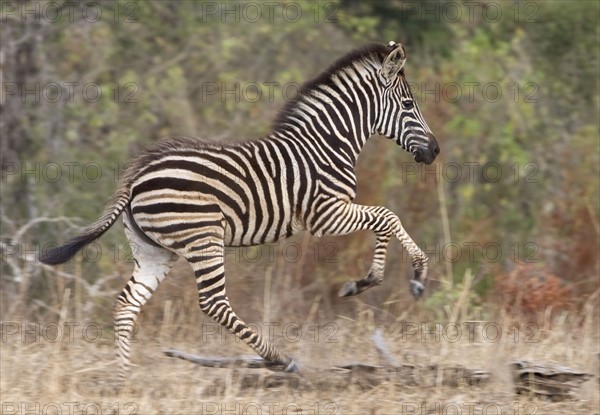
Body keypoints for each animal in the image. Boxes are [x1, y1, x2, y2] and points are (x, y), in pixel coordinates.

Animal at [39, 42, 438, 384]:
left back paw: (123, 380)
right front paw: (413, 275)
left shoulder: (332, 213)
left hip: (153, 250)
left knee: (126, 304)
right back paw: (278, 358)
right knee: (214, 303)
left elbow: (384, 221)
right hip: (203, 239)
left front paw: (366, 280)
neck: (325, 144)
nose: (434, 151)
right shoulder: (325, 214)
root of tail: (139, 171)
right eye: (408, 105)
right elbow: (387, 217)